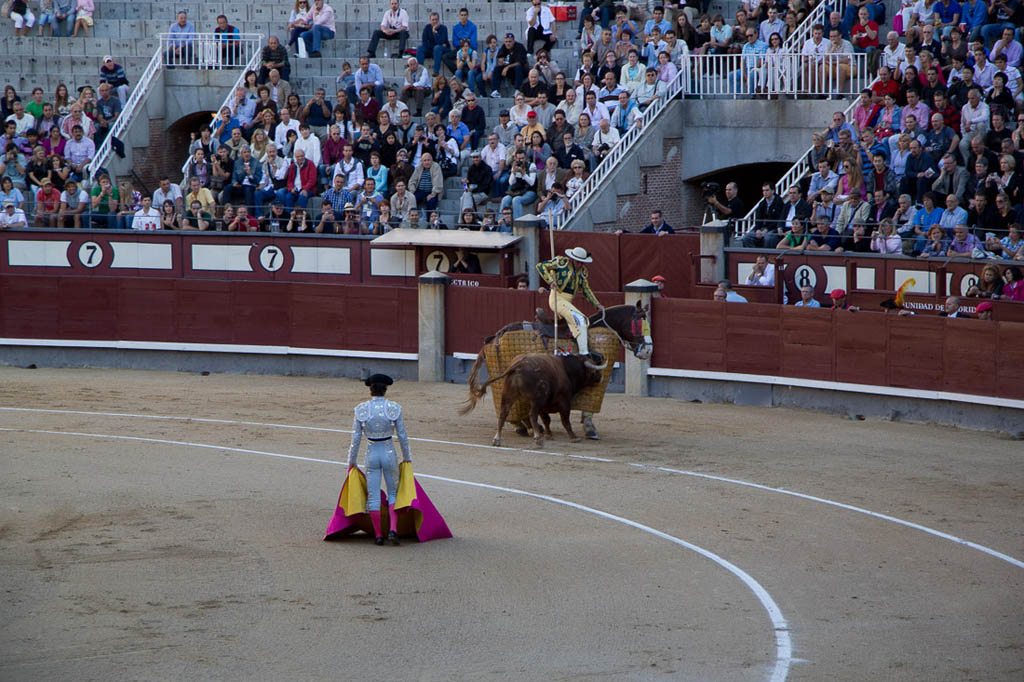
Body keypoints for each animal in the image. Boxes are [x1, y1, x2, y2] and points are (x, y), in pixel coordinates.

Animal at [458, 350, 606, 446]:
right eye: (595, 372)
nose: (601, 377)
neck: (566, 369)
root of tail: (518, 365)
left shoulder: (545, 406)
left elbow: (547, 420)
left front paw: (549, 434)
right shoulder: (564, 402)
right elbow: (565, 420)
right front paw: (573, 437)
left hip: (508, 395)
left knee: (503, 415)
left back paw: (497, 439)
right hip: (536, 400)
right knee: (532, 415)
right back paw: (537, 438)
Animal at [466, 299, 655, 438]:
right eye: (640, 324)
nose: (648, 351)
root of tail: (495, 336)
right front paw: (589, 428)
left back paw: (525, 426)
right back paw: (528, 427)